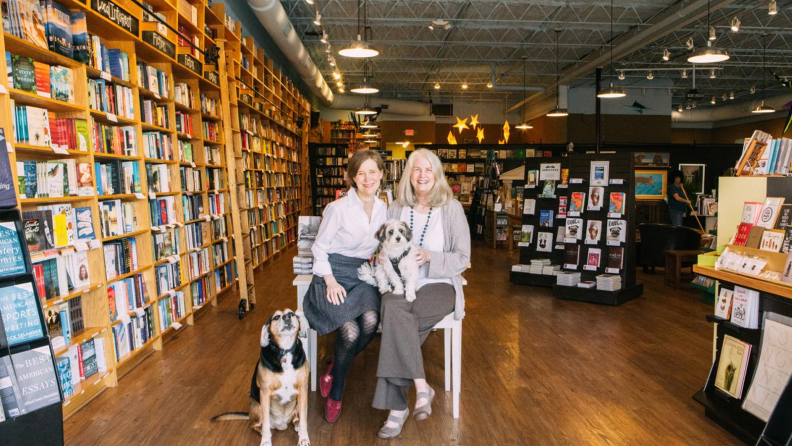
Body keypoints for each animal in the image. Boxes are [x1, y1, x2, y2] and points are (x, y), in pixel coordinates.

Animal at [212, 310, 310, 446]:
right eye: (276, 317)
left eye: (291, 313)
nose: (287, 317)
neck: (284, 352)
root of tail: (281, 424)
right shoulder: (265, 392)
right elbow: (266, 423)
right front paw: (266, 440)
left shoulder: (302, 389)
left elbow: (304, 420)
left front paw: (304, 438)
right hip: (255, 404)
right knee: (256, 425)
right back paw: (264, 432)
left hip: (299, 402)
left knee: (296, 418)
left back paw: (296, 425)